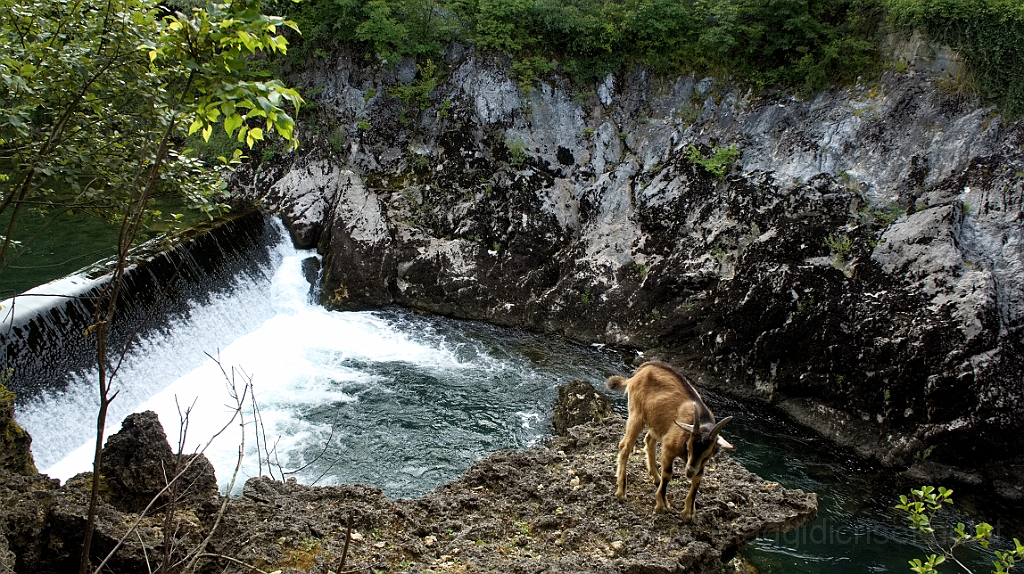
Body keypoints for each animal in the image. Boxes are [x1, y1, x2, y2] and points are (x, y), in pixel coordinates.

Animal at [602, 362, 733, 519]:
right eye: (688, 447)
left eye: (708, 454)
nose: (689, 472)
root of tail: (639, 372)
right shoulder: (669, 447)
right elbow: (668, 473)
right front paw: (662, 505)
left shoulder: (699, 462)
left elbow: (698, 477)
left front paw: (689, 512)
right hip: (637, 415)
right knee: (625, 446)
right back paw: (622, 492)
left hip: (656, 421)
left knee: (648, 440)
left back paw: (655, 476)